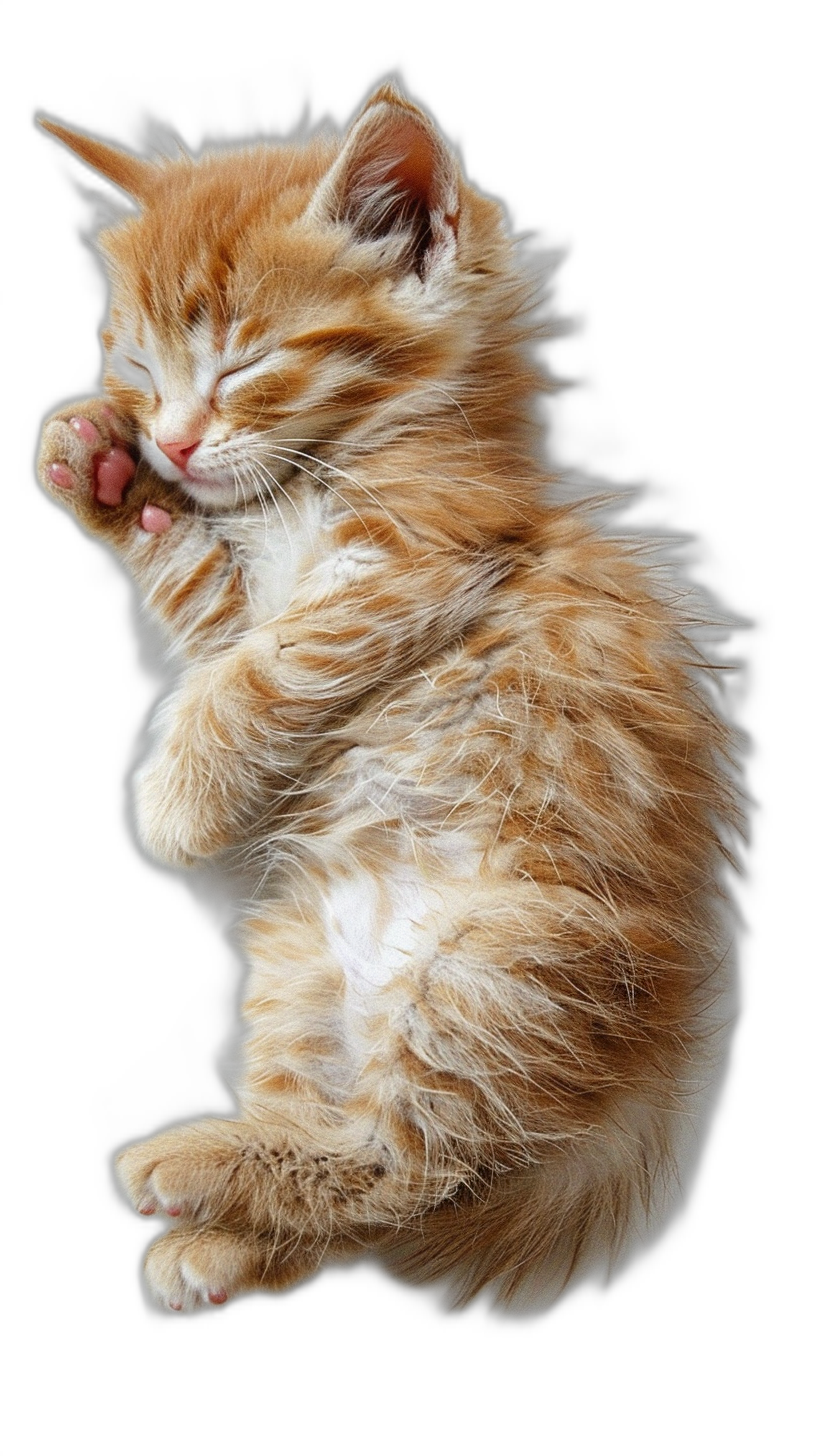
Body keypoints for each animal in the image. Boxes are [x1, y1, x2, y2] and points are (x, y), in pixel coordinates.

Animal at [34, 82, 746, 1322]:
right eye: (132, 368)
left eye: (242, 364)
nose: (166, 442)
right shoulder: (245, 597)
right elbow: (212, 610)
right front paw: (114, 482)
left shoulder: (420, 558)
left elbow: (266, 670)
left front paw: (176, 803)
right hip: (297, 960)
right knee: (375, 1184)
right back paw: (215, 1239)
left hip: (498, 958)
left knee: (412, 1169)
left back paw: (186, 1165)